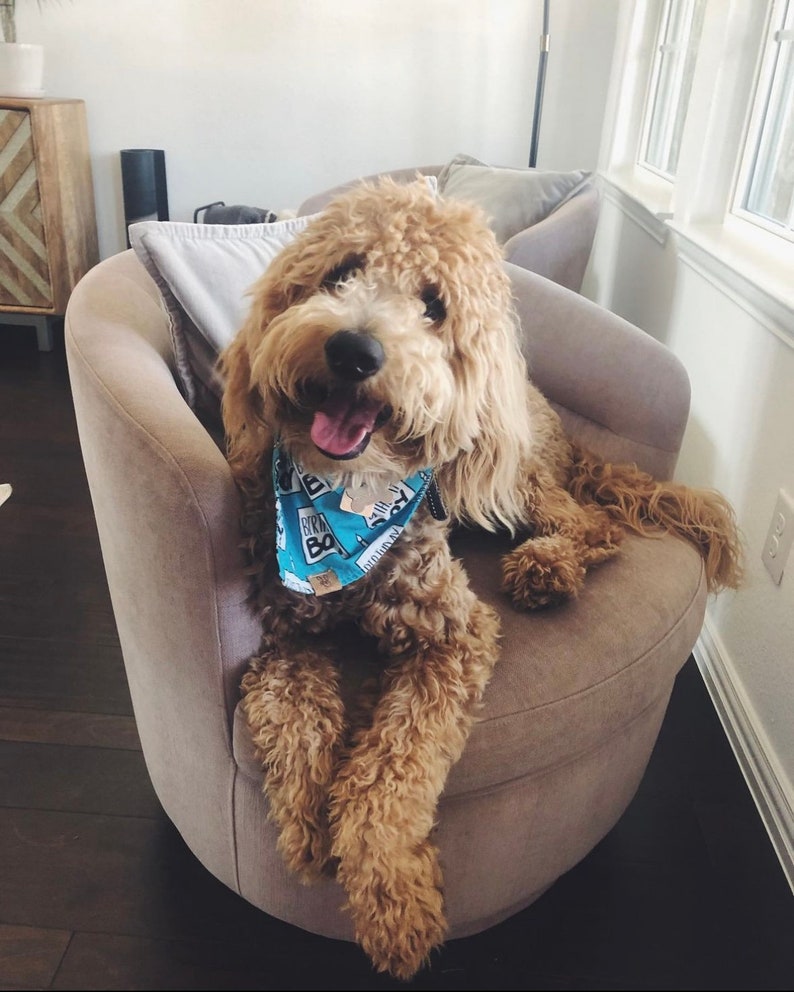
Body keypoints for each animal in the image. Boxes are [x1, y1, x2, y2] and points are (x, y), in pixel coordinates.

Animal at [218, 178, 744, 976]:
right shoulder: (285, 639)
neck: (347, 505)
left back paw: (548, 568)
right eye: (341, 272)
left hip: (513, 485)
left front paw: (393, 898)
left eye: (434, 306)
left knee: (595, 525)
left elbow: (395, 770)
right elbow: (297, 722)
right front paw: (307, 828)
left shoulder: (453, 634)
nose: (353, 349)